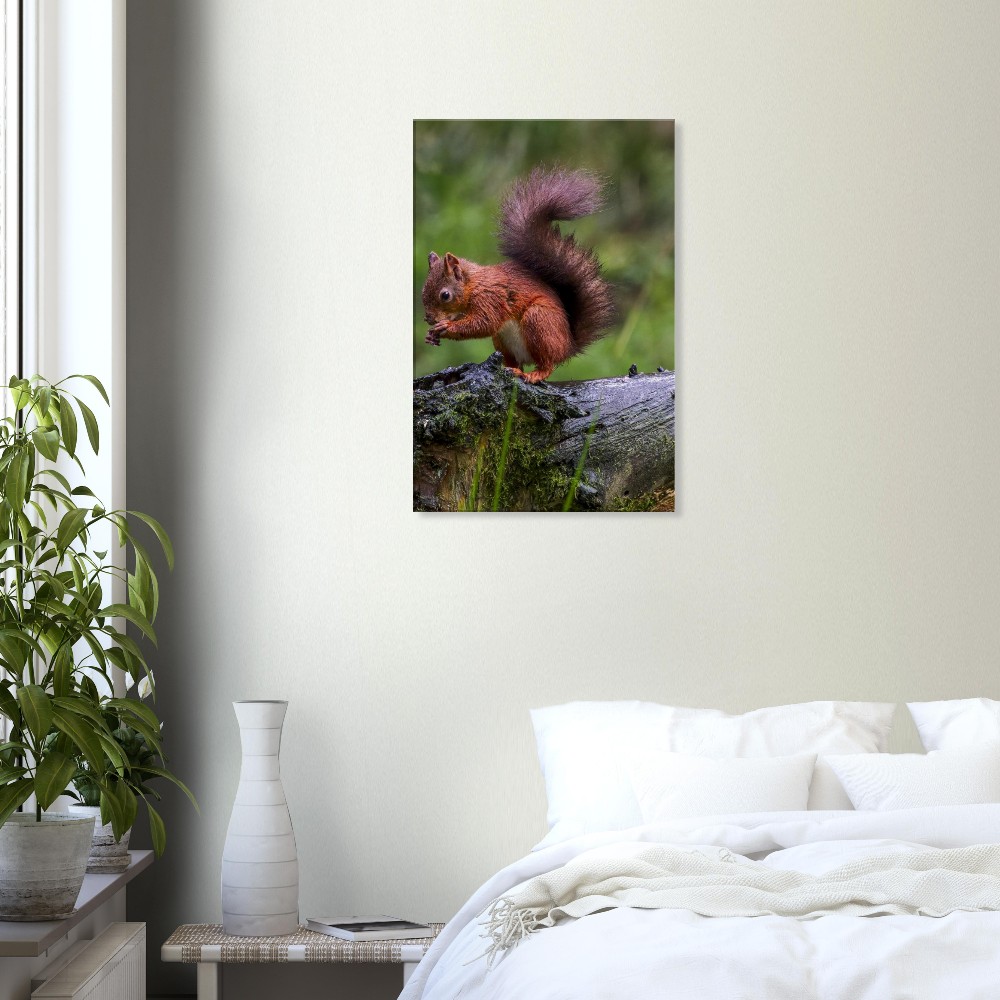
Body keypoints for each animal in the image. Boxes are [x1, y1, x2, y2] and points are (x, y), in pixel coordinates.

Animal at [421, 168, 615, 383]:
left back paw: (534, 373)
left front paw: (446, 327)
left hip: (539, 321)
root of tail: (568, 347)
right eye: (423, 290)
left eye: (445, 295)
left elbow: (484, 323)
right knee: (514, 361)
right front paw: (431, 335)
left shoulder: (491, 298)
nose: (429, 318)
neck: (474, 284)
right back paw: (510, 368)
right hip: (502, 340)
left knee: (548, 363)